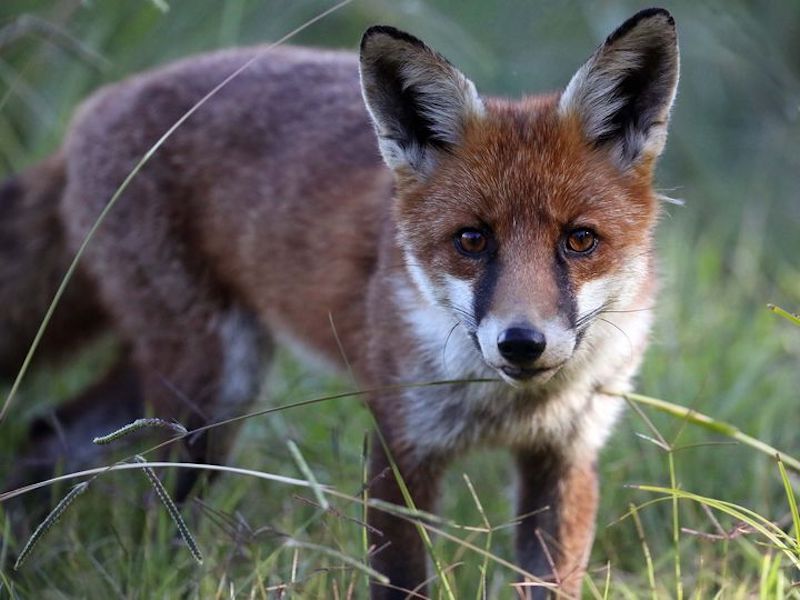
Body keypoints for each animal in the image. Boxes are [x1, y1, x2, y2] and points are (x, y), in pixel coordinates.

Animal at [0, 5, 680, 600]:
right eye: (472, 240)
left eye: (580, 239)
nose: (521, 342)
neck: (504, 404)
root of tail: (96, 106)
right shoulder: (399, 445)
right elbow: (402, 583)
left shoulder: (565, 455)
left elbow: (549, 580)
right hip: (210, 394)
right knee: (152, 497)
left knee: (46, 433)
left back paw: (21, 548)